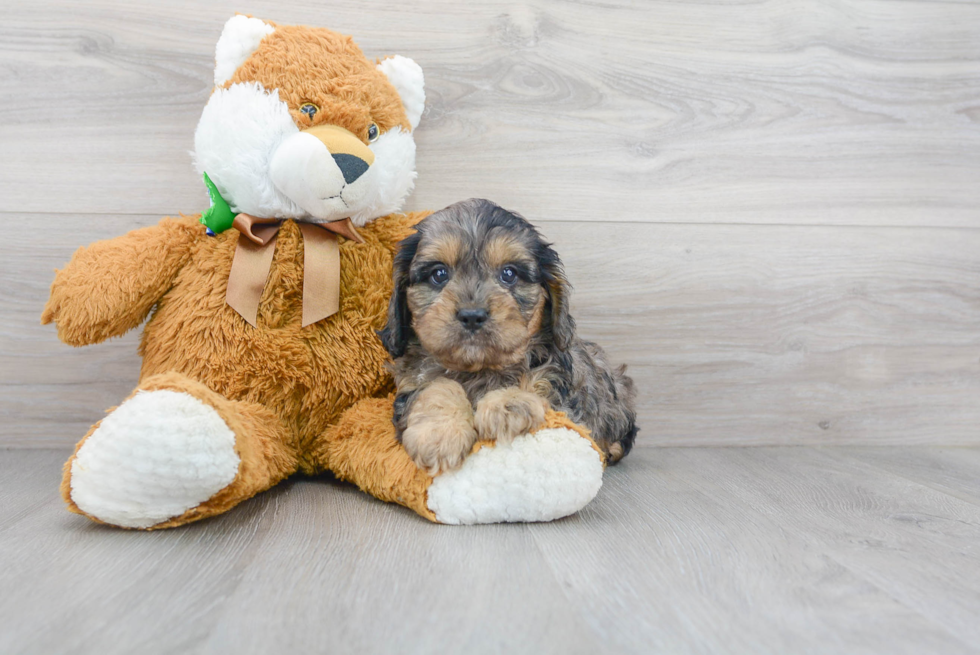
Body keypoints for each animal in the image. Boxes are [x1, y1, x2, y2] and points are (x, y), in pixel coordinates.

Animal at [378, 197, 640, 474]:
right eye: (439, 274)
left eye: (509, 273)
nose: (472, 315)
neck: (479, 369)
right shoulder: (412, 378)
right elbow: (436, 386)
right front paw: (440, 434)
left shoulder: (561, 387)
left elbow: (535, 383)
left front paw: (508, 405)